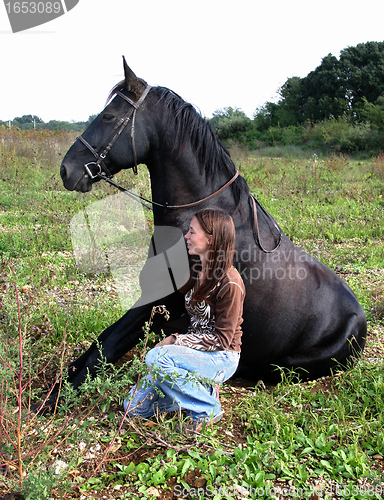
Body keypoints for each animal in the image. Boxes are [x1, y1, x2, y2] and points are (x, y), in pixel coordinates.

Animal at [59, 57, 366, 386]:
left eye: (108, 116)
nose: (67, 169)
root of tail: (360, 323)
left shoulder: (158, 302)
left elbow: (104, 350)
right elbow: (99, 345)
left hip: (289, 365)